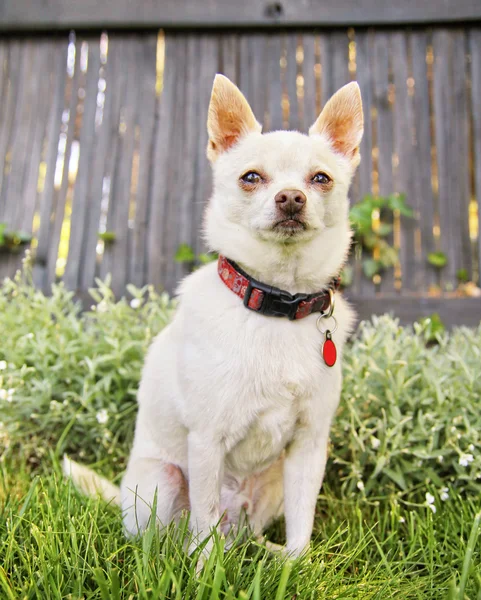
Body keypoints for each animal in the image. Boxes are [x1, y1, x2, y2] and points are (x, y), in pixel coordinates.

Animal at [64, 74, 364, 556]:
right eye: (251, 178)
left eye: (321, 178)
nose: (291, 198)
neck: (277, 303)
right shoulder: (206, 441)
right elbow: (202, 527)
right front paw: (205, 570)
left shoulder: (309, 445)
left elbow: (302, 524)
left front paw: (298, 565)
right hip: (163, 479)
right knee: (173, 539)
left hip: (270, 485)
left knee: (248, 536)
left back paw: (267, 555)